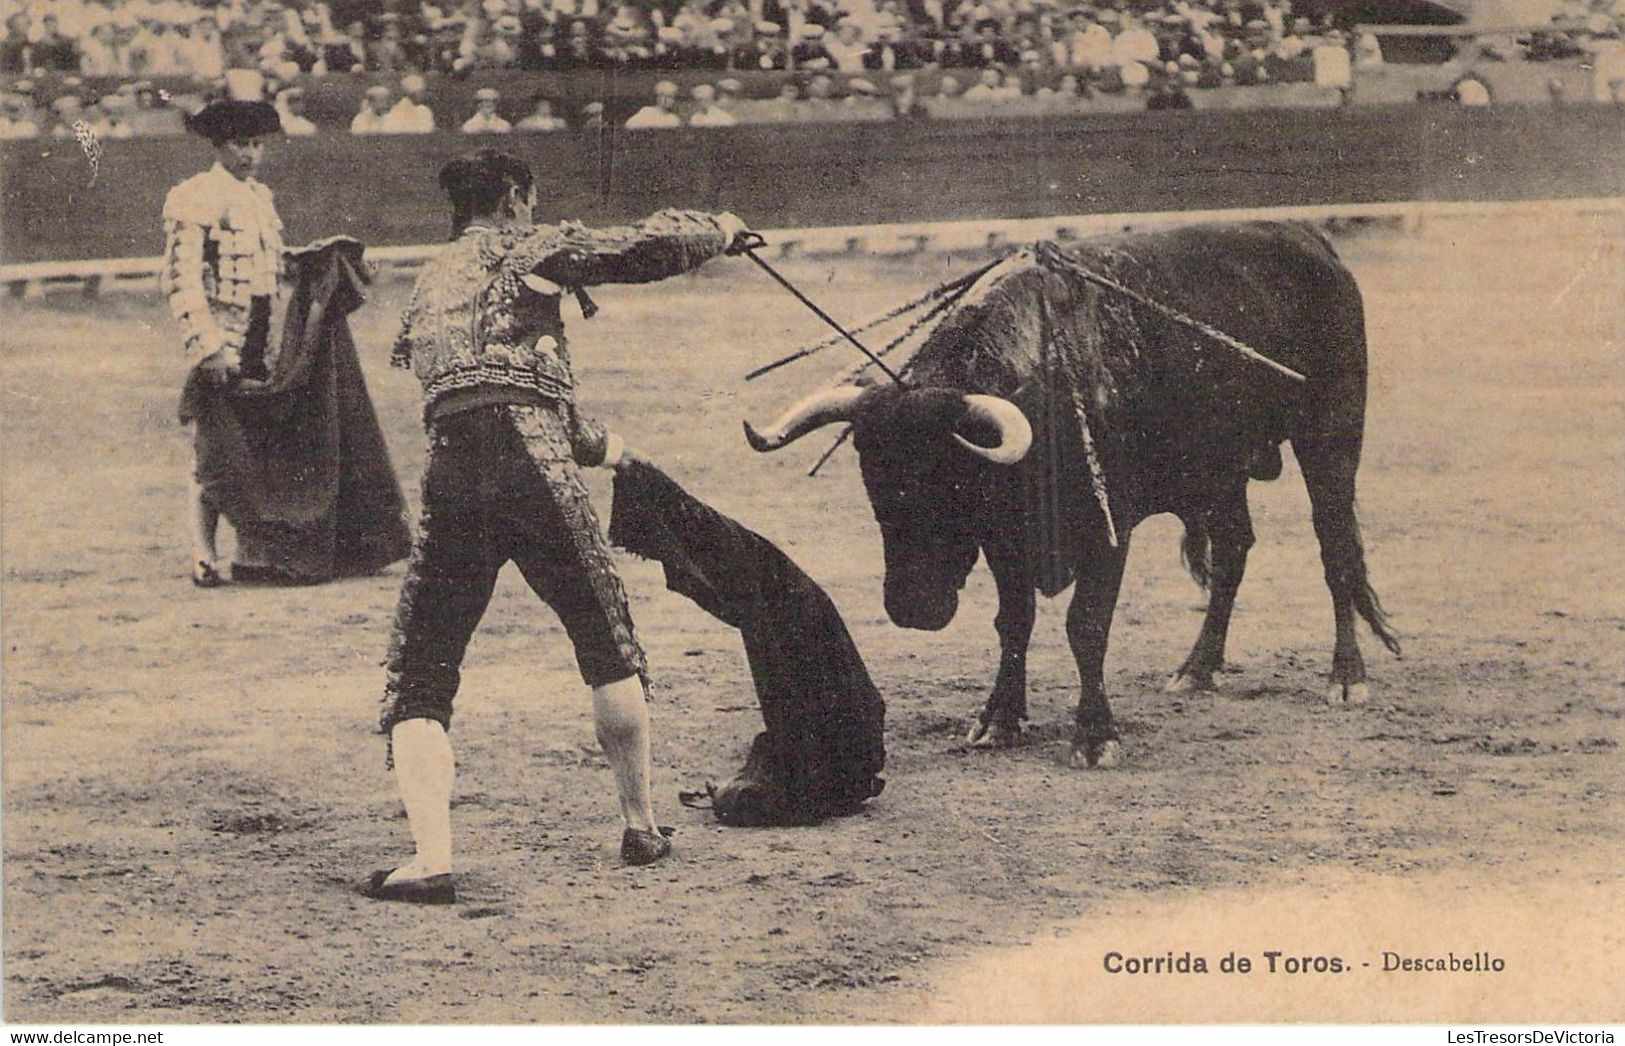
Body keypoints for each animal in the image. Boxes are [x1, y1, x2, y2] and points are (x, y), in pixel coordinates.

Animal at [744, 222, 1397, 766]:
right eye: (872, 482)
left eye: (956, 481)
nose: (913, 609)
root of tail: (1310, 239)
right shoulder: (1004, 539)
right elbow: (1014, 622)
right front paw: (999, 720)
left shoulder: (1110, 531)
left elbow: (1087, 626)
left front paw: (1095, 736)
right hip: (1219, 470)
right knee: (1235, 550)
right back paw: (1196, 670)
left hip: (1330, 440)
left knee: (1335, 549)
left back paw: (1346, 678)